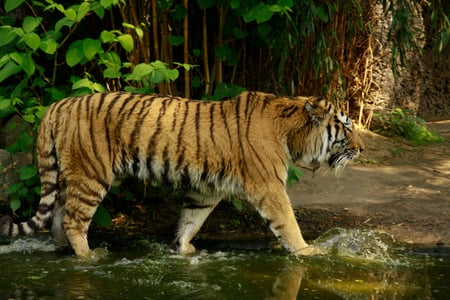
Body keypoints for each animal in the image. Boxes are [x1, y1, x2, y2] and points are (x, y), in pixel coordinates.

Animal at [0, 90, 364, 256]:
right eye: (346, 127)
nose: (362, 149)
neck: (291, 132)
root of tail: (57, 104)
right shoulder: (268, 186)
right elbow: (288, 221)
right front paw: (308, 252)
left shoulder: (207, 190)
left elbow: (191, 220)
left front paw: (185, 250)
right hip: (91, 175)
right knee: (74, 220)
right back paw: (89, 257)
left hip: (75, 175)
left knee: (58, 215)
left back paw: (62, 249)